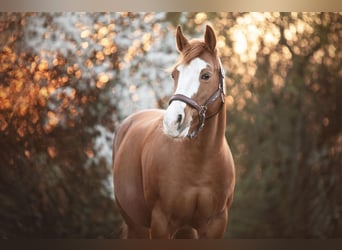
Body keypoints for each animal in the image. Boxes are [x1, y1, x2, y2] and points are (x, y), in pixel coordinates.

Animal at [112, 24, 235, 238]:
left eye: (206, 75)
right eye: (174, 74)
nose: (172, 122)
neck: (200, 162)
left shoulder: (215, 225)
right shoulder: (161, 223)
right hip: (136, 225)